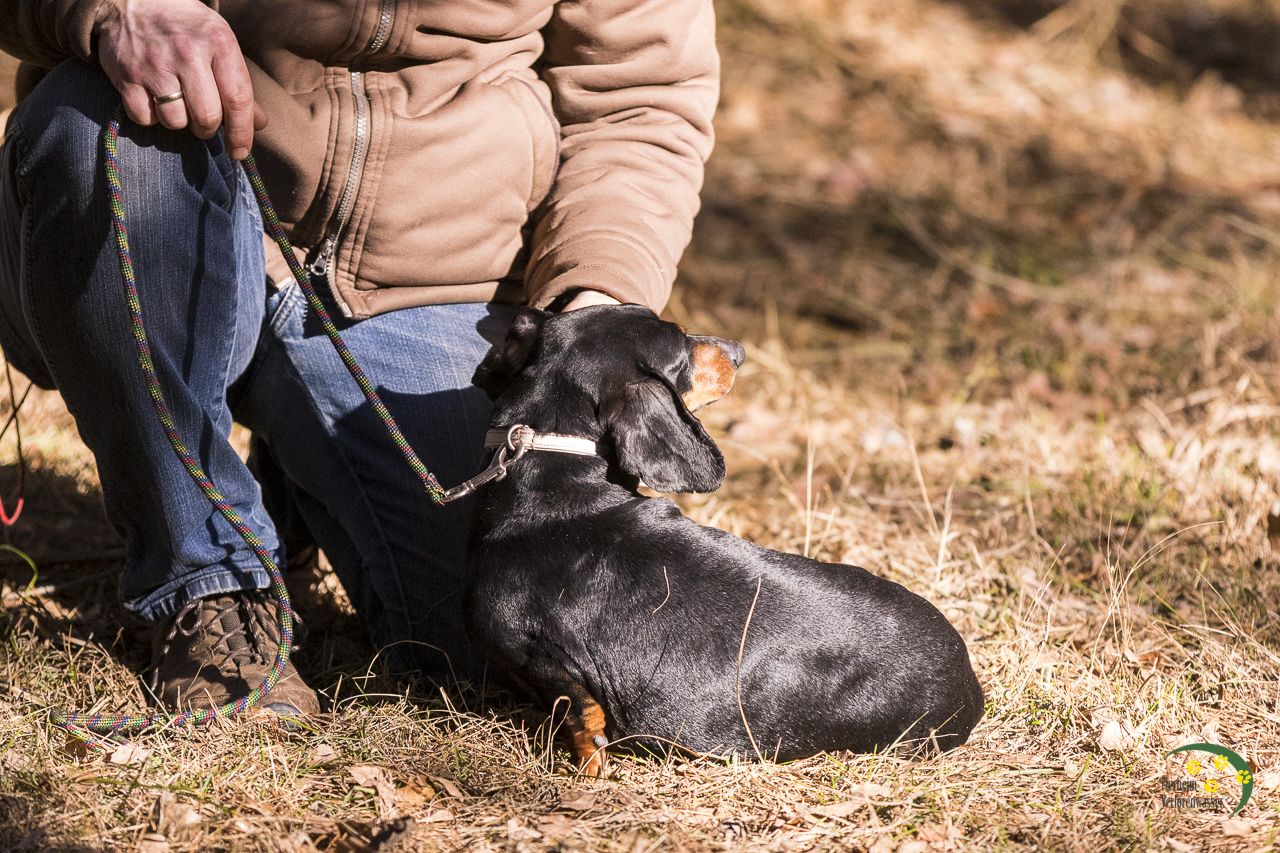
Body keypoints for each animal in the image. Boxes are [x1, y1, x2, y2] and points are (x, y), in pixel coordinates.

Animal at [465, 304, 983, 775]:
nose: (740, 351)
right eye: (680, 344)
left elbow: (580, 720)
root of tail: (970, 687)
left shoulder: (544, 661)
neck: (556, 476)